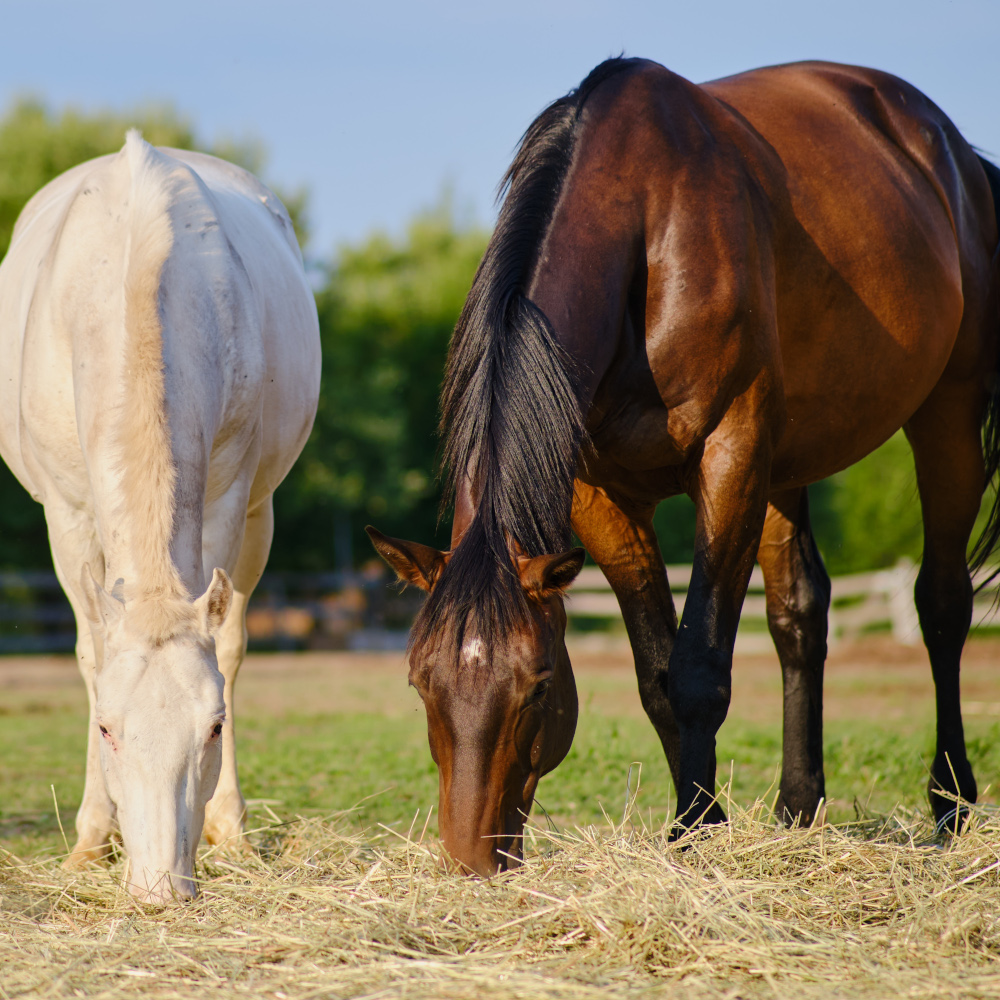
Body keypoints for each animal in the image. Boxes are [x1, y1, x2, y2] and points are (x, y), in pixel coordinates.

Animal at [0, 133, 320, 901]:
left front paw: (225, 832)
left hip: (262, 513)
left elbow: (223, 643)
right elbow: (92, 652)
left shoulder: (229, 497)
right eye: (108, 729)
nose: (159, 889)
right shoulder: (67, 513)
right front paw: (92, 839)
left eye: (214, 728)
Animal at [368, 57, 1000, 876]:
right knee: (799, 612)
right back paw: (797, 810)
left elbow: (698, 668)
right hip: (785, 462)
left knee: (942, 604)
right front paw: (697, 823)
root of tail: (953, 151)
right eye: (422, 683)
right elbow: (657, 675)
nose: (472, 860)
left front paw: (697, 832)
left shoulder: (729, 456)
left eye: (539, 685)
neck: (645, 231)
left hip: (944, 415)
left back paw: (950, 801)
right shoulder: (604, 499)